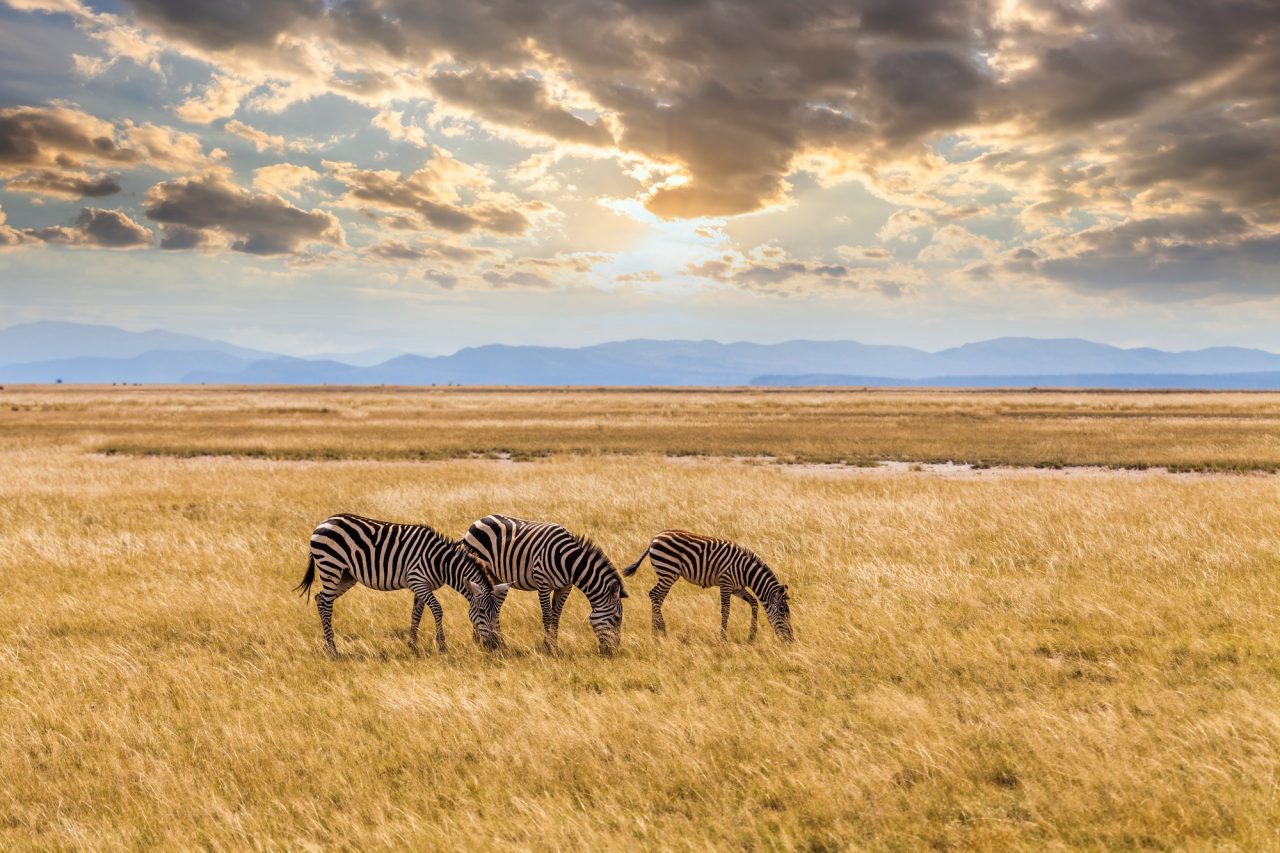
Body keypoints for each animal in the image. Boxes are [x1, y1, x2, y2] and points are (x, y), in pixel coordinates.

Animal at [295, 513, 510, 656]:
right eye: (481, 611)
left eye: (496, 612)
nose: (493, 645)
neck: (441, 562)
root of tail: (324, 522)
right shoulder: (418, 580)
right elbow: (437, 610)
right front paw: (441, 645)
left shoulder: (421, 586)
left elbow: (416, 614)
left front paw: (412, 645)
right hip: (331, 567)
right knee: (325, 602)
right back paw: (332, 648)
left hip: (346, 576)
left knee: (320, 598)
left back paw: (327, 645)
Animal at [463, 514, 628, 654]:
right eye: (616, 618)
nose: (613, 651)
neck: (569, 562)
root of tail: (480, 519)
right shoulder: (543, 584)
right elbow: (547, 616)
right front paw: (547, 647)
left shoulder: (565, 587)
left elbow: (556, 616)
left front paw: (555, 646)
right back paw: (481, 640)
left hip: (498, 578)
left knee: (495, 605)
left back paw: (499, 643)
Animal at [621, 530, 793, 642]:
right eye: (783, 611)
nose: (791, 640)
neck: (746, 571)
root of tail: (654, 539)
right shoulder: (725, 583)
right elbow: (726, 610)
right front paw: (723, 639)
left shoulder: (737, 588)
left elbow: (754, 603)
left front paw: (751, 636)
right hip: (668, 571)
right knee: (655, 595)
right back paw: (662, 631)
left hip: (667, 573)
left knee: (656, 597)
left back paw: (655, 631)